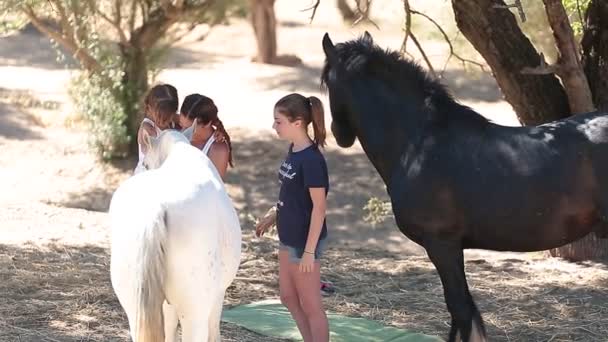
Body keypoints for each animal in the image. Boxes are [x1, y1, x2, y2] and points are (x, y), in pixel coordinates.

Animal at [320, 30, 608, 340]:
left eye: (327, 82)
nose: (339, 135)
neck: (420, 142)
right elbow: (462, 311)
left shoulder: (442, 244)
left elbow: (459, 309)